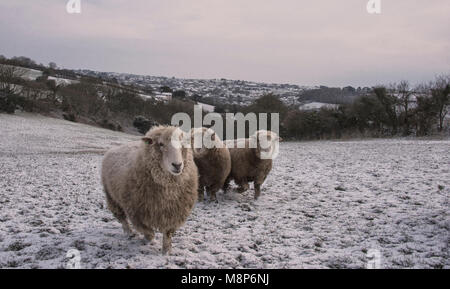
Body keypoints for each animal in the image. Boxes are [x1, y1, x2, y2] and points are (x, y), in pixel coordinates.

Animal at [102, 125, 197, 253]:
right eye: (161, 144)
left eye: (183, 144)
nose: (177, 165)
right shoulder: (136, 212)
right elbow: (148, 231)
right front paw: (149, 239)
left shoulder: (173, 213)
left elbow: (167, 234)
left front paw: (166, 252)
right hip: (111, 197)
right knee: (121, 217)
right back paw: (129, 232)